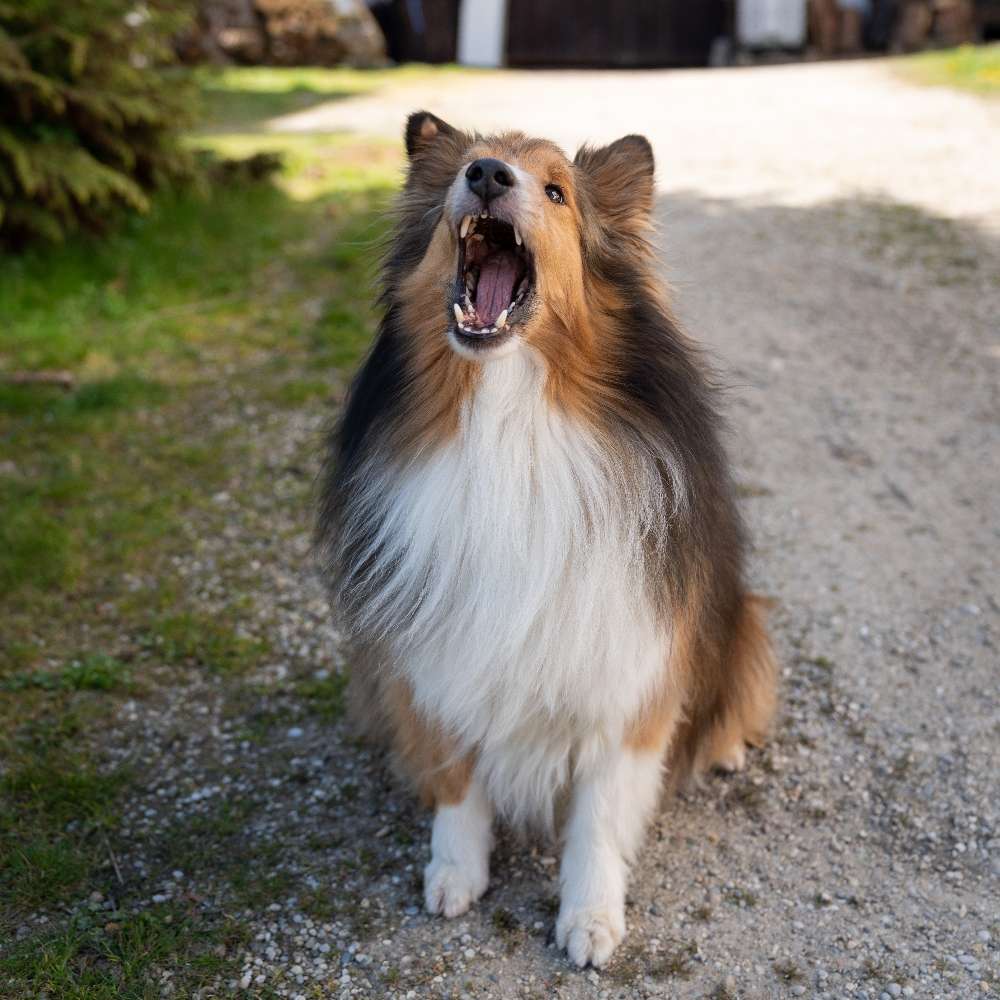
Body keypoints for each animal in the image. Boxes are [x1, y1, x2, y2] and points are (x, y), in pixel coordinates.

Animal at [316, 111, 776, 968]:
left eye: (558, 191)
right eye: (467, 165)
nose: (488, 176)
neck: (510, 418)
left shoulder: (626, 671)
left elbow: (598, 816)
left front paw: (590, 919)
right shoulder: (435, 655)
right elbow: (456, 781)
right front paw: (453, 873)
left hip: (743, 614)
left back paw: (725, 746)